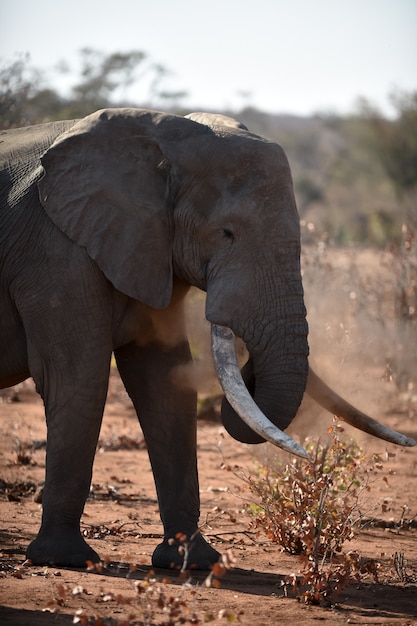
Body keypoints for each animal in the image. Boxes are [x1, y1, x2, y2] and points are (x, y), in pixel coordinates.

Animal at [0, 108, 412, 572]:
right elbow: (78, 378)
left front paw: (192, 562)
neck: (159, 134)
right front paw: (67, 559)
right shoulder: (55, 251)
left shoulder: (145, 248)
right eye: (226, 233)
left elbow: (164, 385)